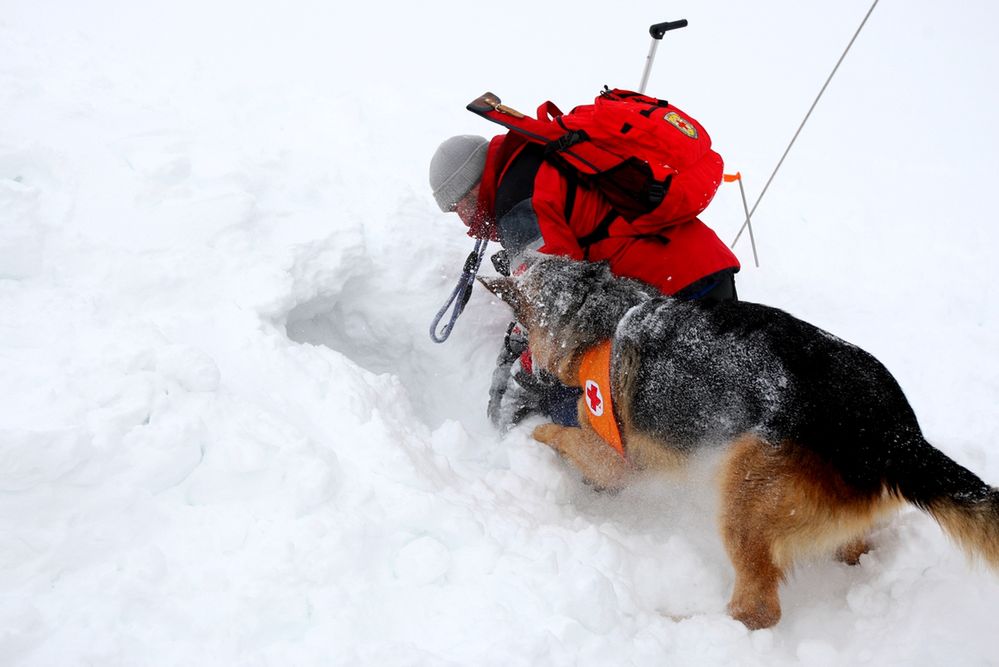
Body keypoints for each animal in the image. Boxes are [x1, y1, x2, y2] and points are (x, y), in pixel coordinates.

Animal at [480, 256, 996, 632]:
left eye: (526, 262)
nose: (500, 255)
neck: (601, 314)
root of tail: (893, 433)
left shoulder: (613, 455)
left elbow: (561, 435)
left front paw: (534, 437)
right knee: (850, 551)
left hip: (745, 494)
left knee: (757, 610)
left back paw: (689, 625)